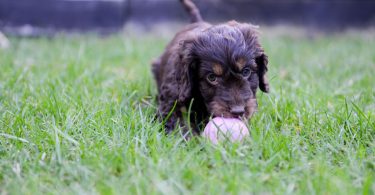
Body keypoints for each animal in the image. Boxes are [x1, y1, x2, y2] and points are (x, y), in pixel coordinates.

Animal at [153, 0, 270, 134]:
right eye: (212, 77)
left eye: (246, 71)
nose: (238, 111)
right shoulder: (171, 102)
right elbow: (178, 124)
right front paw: (194, 138)